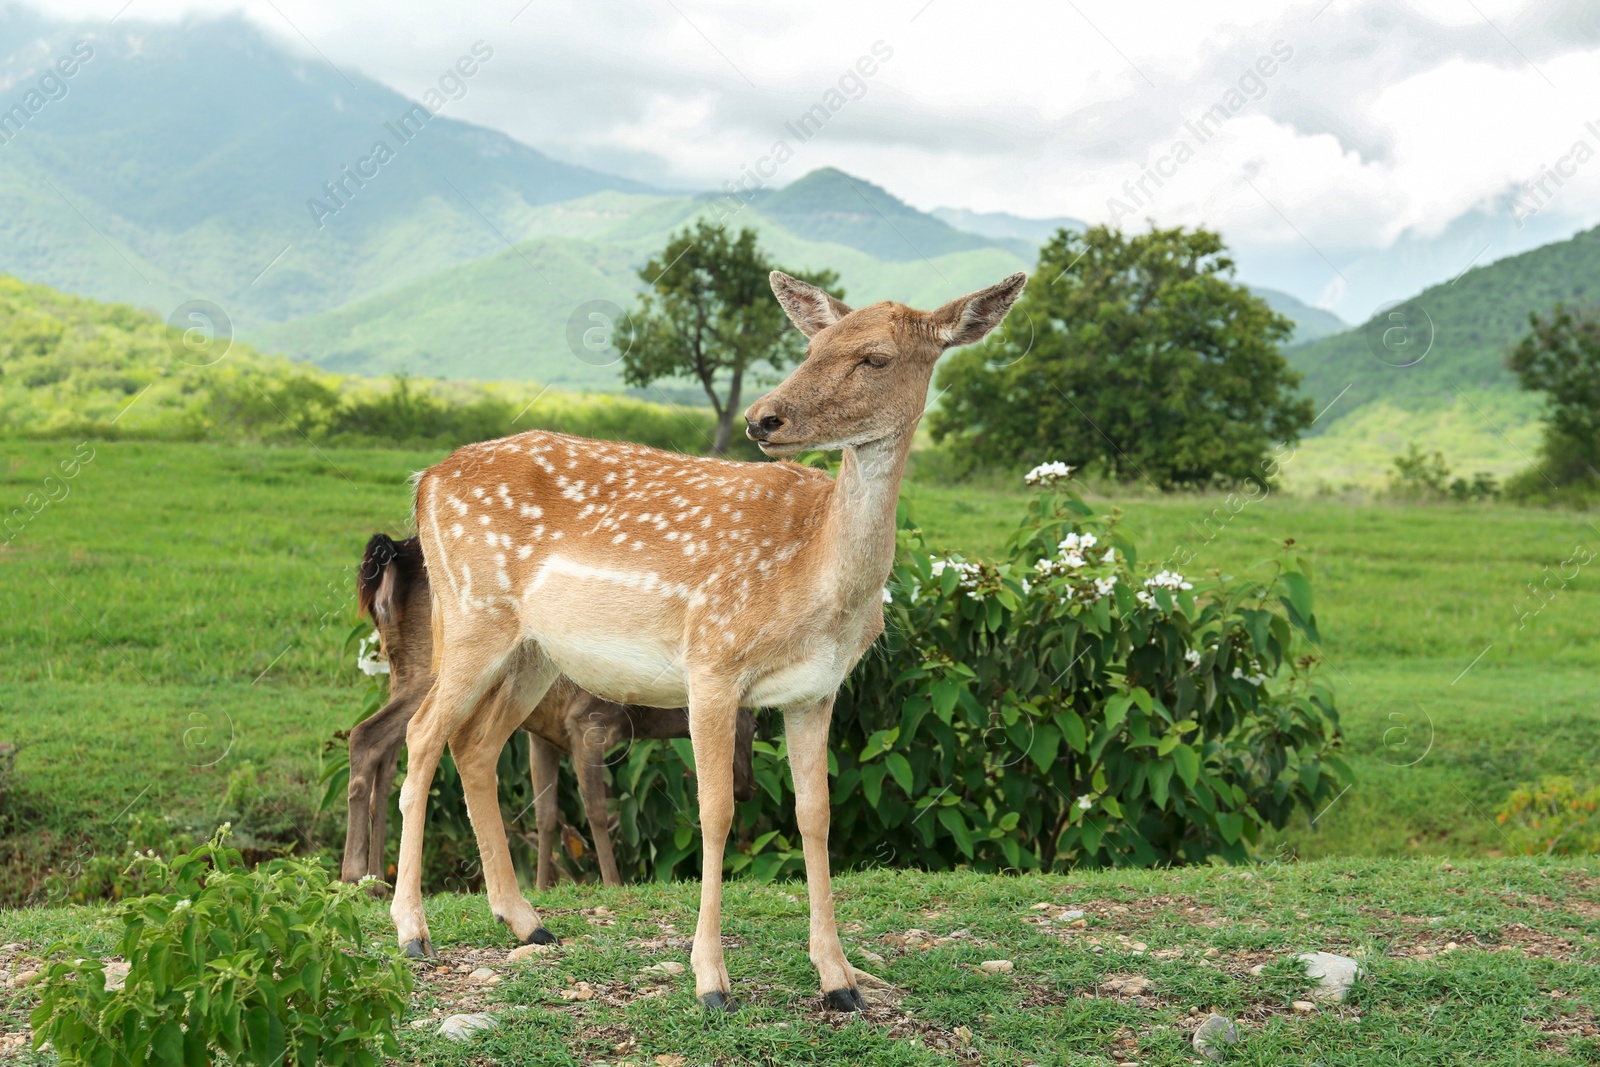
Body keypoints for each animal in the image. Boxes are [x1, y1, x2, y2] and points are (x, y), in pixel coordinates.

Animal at [344, 534, 755, 902]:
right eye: (754, 726)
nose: (747, 789)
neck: (638, 712)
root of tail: (393, 557)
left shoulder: (542, 735)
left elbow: (546, 813)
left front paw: (542, 886)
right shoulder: (587, 722)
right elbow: (597, 809)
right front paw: (612, 882)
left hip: (400, 672)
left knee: (389, 759)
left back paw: (376, 881)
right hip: (433, 669)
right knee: (365, 735)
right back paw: (354, 876)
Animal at [393, 271, 1030, 1017]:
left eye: (875, 357)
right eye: (811, 346)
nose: (763, 419)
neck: (817, 580)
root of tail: (426, 481)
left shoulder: (817, 689)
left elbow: (816, 814)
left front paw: (838, 978)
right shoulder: (712, 661)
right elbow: (717, 810)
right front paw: (711, 980)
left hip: (533, 652)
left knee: (475, 744)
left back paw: (526, 920)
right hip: (472, 612)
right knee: (422, 733)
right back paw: (412, 930)